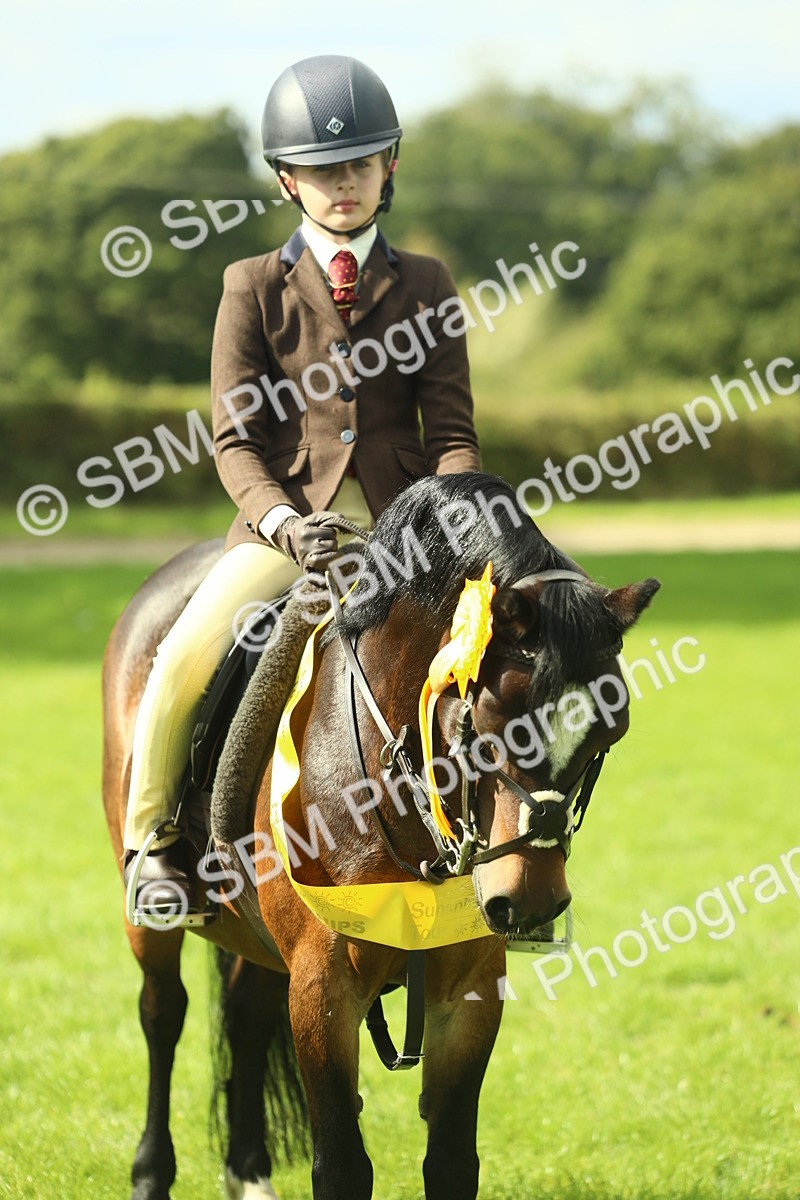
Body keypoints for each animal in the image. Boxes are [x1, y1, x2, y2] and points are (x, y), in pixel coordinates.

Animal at [102, 471, 660, 1200]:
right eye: (486, 719)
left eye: (608, 734)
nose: (531, 901)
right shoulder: (322, 986)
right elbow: (341, 1166)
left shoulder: (471, 989)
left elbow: (451, 1163)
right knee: (162, 1012)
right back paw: (149, 1170)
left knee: (246, 1014)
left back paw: (248, 1171)